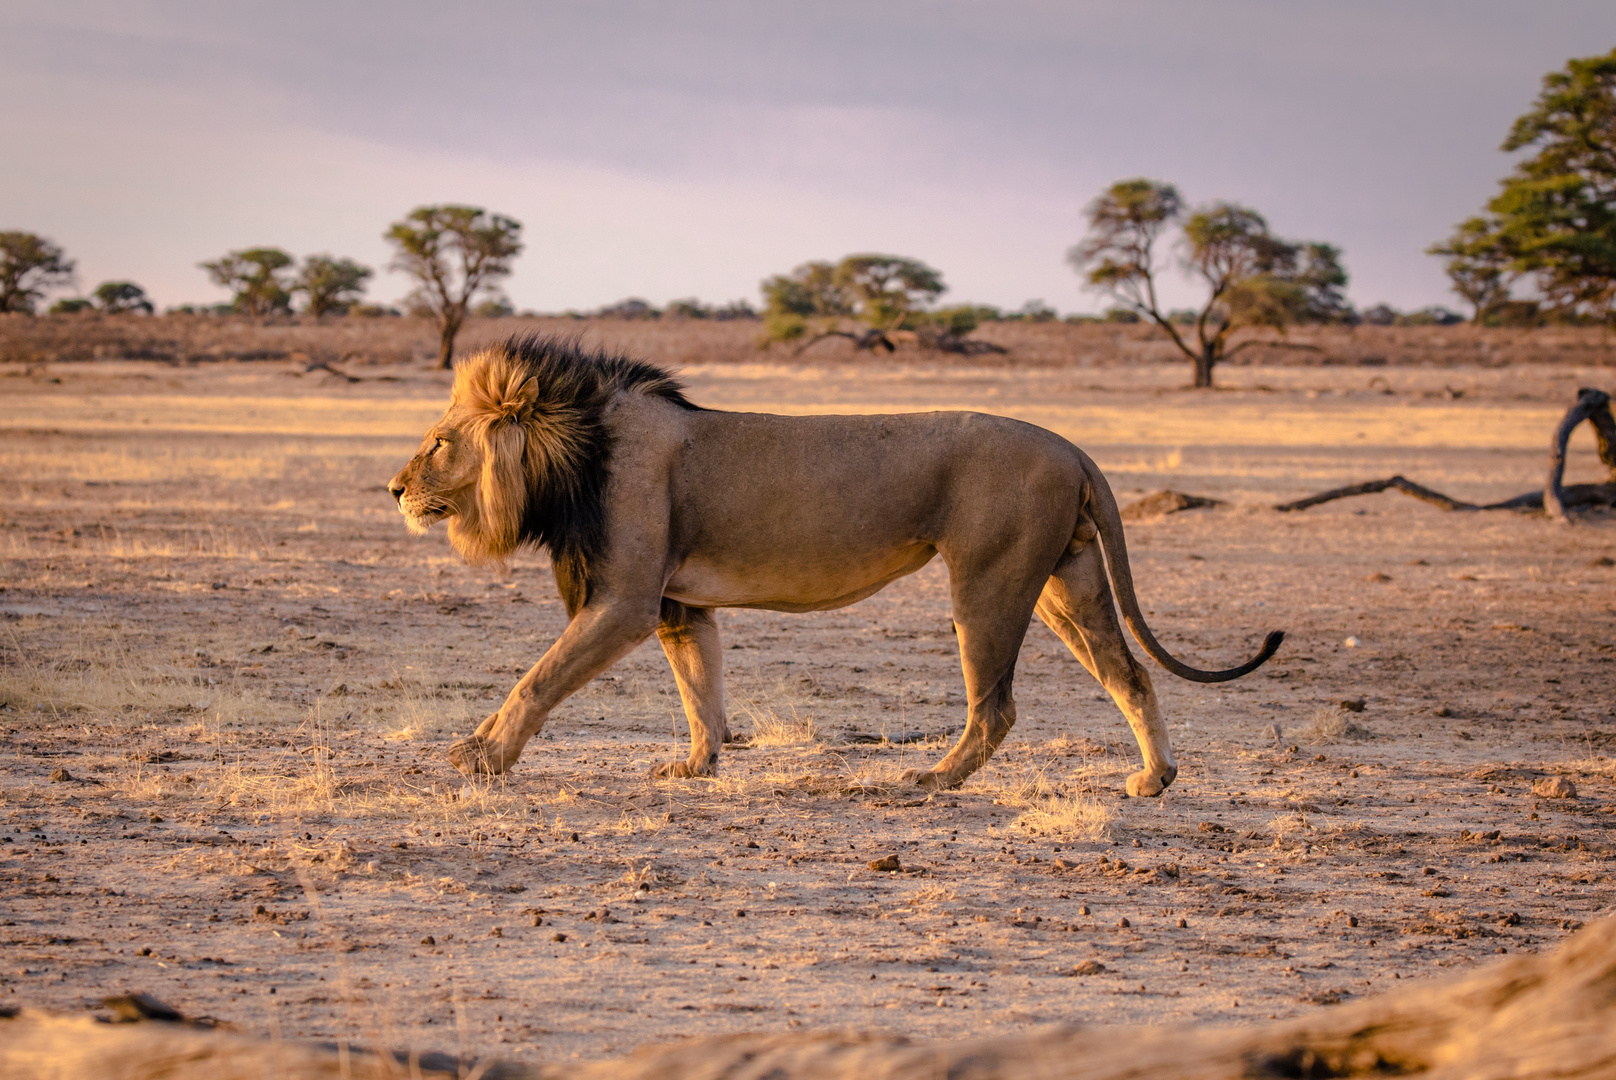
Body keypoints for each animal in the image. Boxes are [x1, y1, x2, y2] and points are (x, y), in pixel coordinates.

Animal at [387, 333, 1273, 798]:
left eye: (438, 443)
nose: (393, 488)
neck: (578, 450)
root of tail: (1072, 445)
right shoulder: (678, 606)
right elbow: (701, 692)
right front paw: (696, 765)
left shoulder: (627, 600)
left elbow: (536, 678)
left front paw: (480, 756)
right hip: (1067, 582)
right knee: (1129, 673)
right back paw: (1154, 779)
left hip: (988, 581)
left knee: (996, 706)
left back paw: (929, 780)